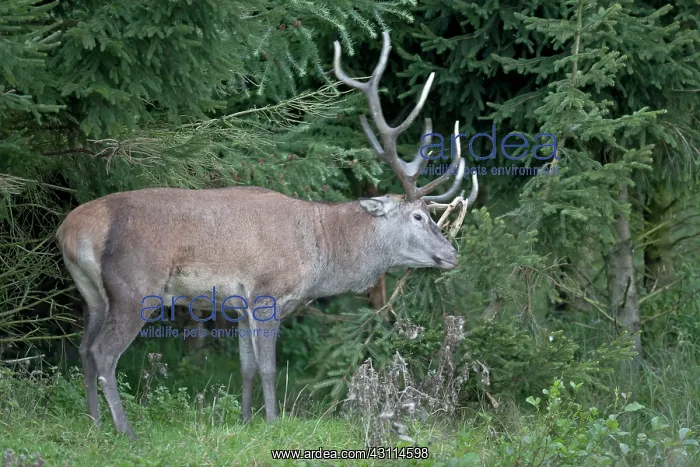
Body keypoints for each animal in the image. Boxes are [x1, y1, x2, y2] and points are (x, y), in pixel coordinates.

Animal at [55, 31, 478, 440]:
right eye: (419, 216)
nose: (452, 254)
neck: (321, 249)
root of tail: (72, 228)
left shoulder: (239, 305)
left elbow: (244, 367)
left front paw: (244, 421)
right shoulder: (266, 295)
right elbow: (269, 368)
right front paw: (273, 423)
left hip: (93, 293)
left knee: (83, 349)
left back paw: (94, 423)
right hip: (135, 286)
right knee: (104, 352)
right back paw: (124, 430)